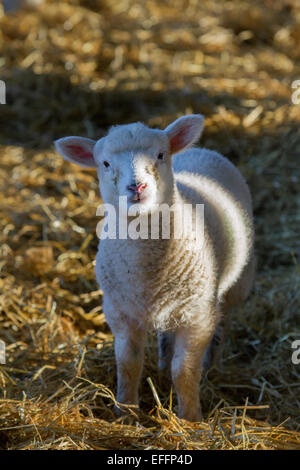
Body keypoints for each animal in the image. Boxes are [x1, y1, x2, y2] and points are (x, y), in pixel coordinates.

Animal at [55, 114, 254, 422]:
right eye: (105, 163)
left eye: (160, 155)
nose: (136, 187)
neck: (148, 269)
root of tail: (201, 149)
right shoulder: (120, 312)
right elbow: (128, 364)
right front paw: (125, 411)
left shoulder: (197, 316)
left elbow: (184, 371)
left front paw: (190, 418)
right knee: (164, 336)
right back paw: (161, 365)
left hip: (235, 285)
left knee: (222, 325)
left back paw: (213, 367)